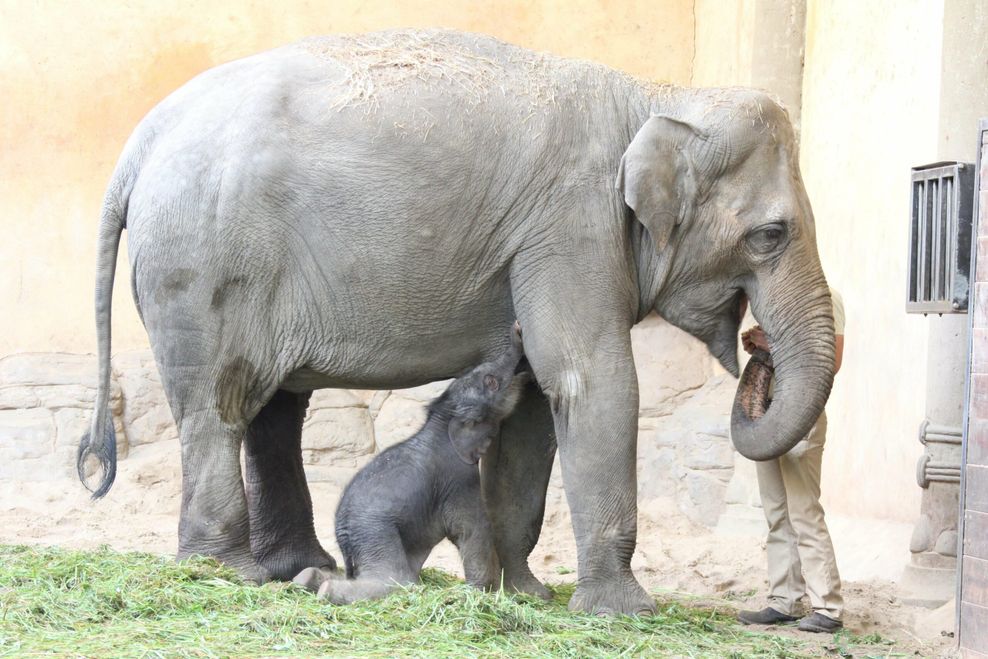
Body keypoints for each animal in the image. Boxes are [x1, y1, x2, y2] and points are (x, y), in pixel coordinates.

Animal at [292, 322, 524, 604]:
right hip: (376, 533)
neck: (441, 420)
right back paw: (327, 591)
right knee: (396, 580)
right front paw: (482, 593)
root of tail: (343, 533)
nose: (518, 328)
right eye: (491, 382)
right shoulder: (457, 479)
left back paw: (308, 580)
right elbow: (473, 530)